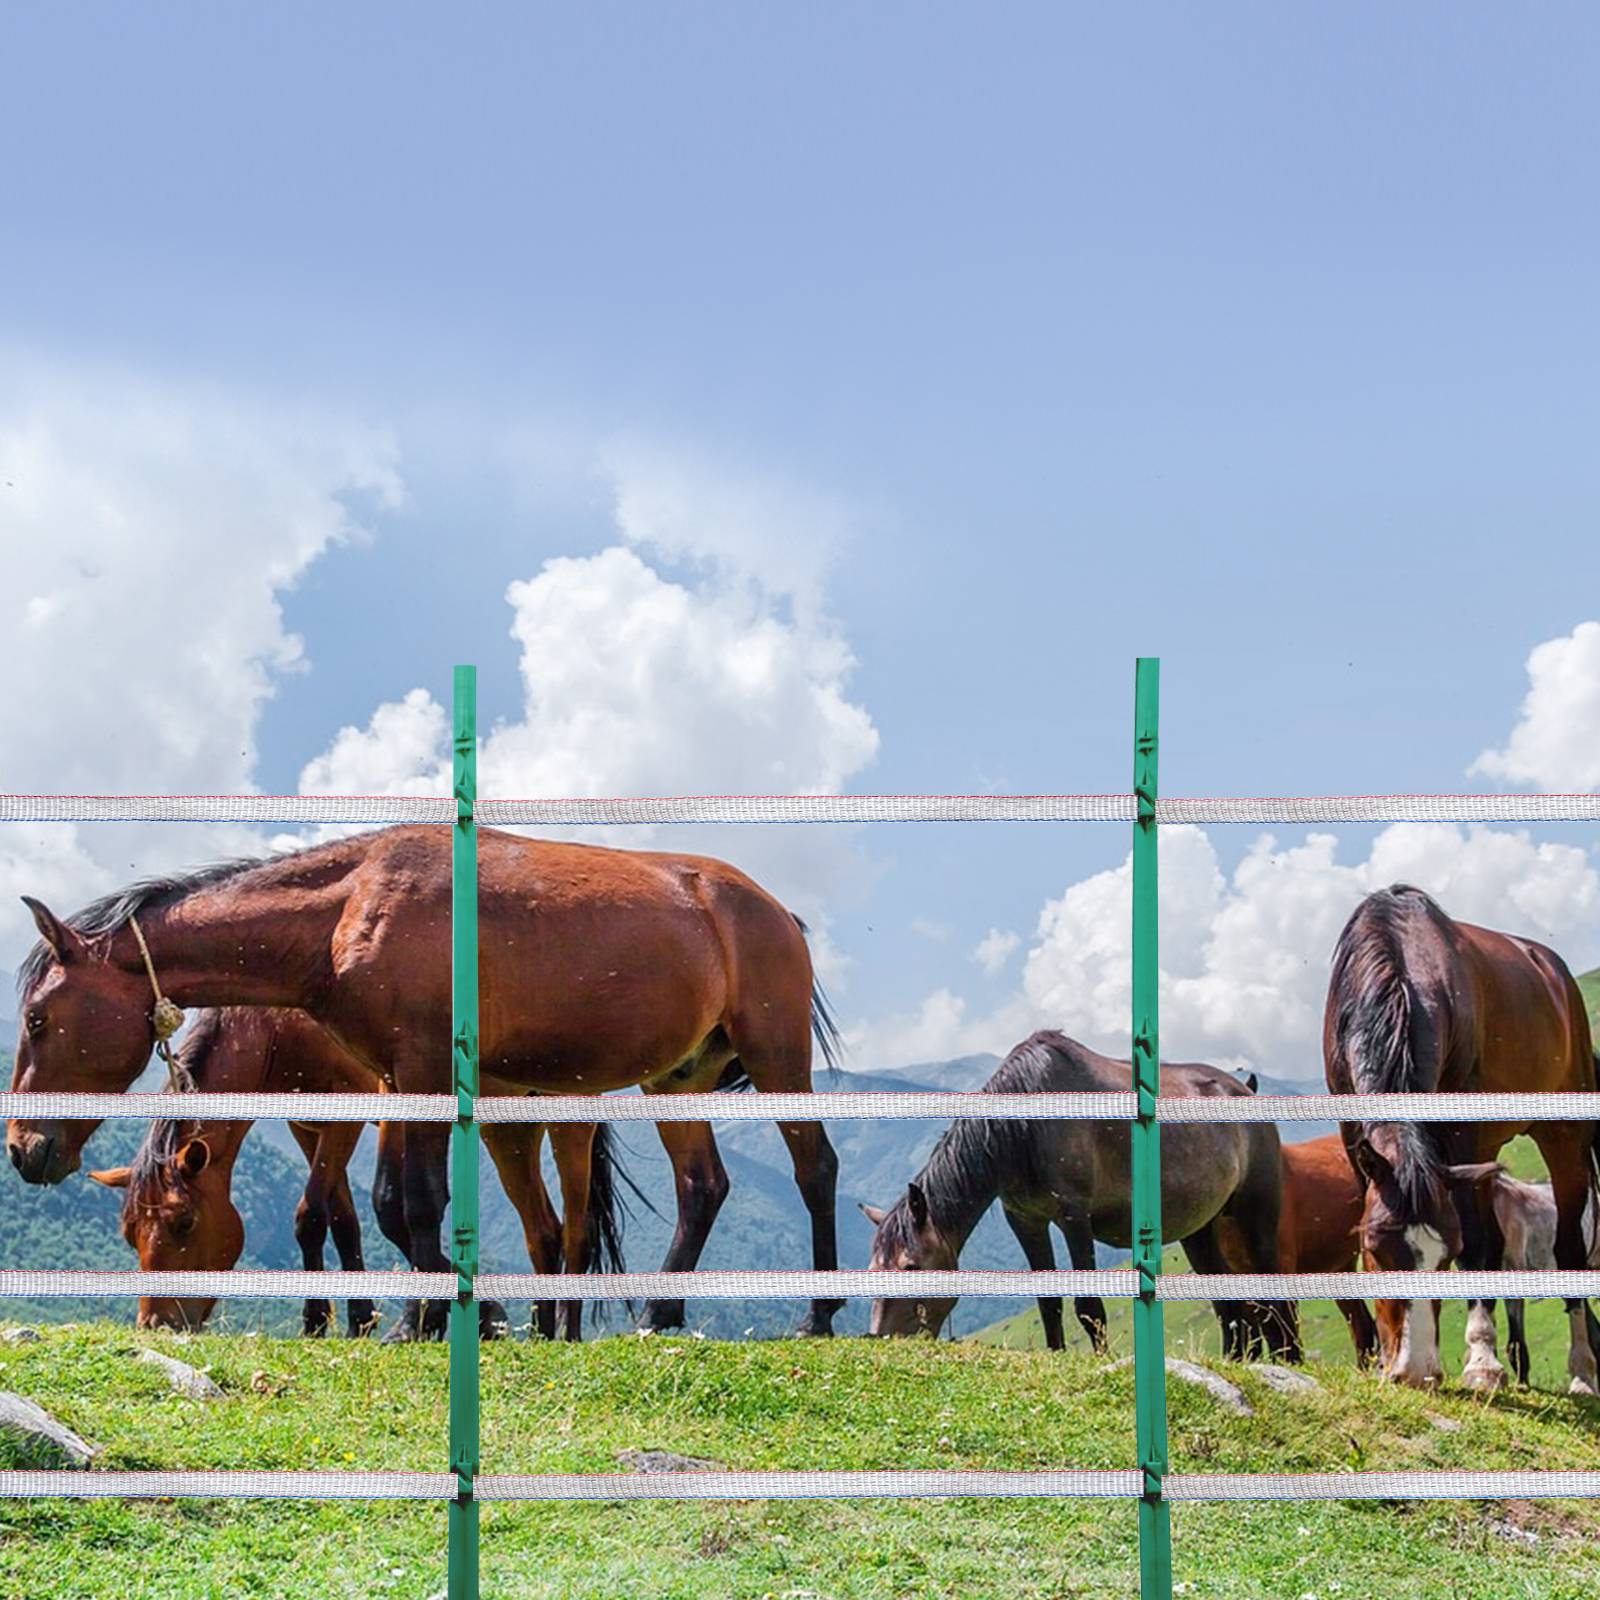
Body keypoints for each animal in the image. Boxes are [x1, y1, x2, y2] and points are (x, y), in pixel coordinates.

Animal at [84, 1007, 627, 1339]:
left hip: (567, 1126)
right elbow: (339, 1221)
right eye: (130, 1235)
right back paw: (540, 1331)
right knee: (543, 1232)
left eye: (185, 1223)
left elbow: (356, 1211)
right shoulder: (308, 1126)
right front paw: (354, 1319)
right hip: (510, 1129)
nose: (157, 1323)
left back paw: (566, 1333)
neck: (282, 1025)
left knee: (576, 1233)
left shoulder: (369, 1109)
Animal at [864, 1030, 1297, 1361]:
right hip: (1200, 1230)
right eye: (872, 1269)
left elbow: (1088, 1306)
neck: (1026, 1128)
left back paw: (1289, 1360)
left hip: (1256, 1217)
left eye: (910, 1267)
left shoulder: (1074, 1217)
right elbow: (1048, 1302)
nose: (882, 1338)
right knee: (1229, 1300)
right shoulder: (1026, 1221)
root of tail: (1243, 1091)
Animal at [1324, 884, 1600, 1393]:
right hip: (1486, 1157)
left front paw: (1482, 1363)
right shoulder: (1356, 1140)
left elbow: (1475, 1245)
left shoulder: (1462, 1135)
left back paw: (1581, 1373)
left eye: (1444, 1257)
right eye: (1374, 1249)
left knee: (1568, 1248)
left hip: (1562, 1139)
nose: (1415, 1372)